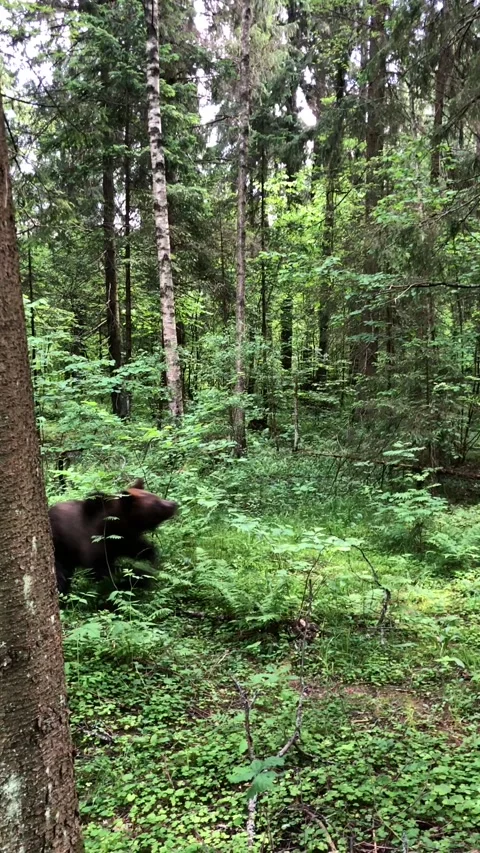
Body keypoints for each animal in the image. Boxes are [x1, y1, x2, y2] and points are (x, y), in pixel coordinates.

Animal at [48, 478, 177, 595]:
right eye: (155, 502)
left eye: (156, 496)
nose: (173, 504)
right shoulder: (92, 544)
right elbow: (104, 573)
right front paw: (136, 580)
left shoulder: (123, 540)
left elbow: (141, 549)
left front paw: (151, 562)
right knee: (61, 576)